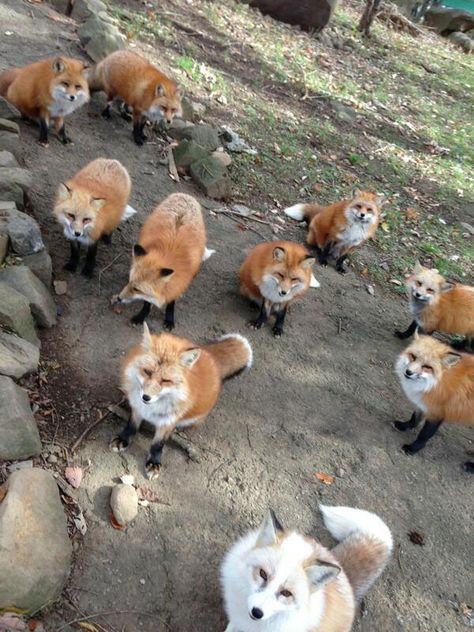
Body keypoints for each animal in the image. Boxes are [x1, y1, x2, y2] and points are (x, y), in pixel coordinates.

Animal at [112, 326, 252, 478]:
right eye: (147, 372)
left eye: (165, 380)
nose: (146, 397)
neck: (151, 409)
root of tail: (210, 356)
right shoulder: (137, 408)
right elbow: (131, 425)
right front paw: (123, 439)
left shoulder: (169, 420)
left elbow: (158, 444)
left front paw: (154, 462)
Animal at [114, 193, 212, 330]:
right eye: (130, 282)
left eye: (137, 289)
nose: (118, 298)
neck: (167, 254)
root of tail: (185, 195)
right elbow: (147, 303)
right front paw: (141, 316)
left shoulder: (178, 282)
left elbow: (171, 303)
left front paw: (169, 319)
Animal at [392, 334, 474, 472]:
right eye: (413, 356)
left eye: (427, 367)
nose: (408, 372)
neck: (436, 382)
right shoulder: (424, 404)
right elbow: (414, 418)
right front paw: (404, 426)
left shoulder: (437, 413)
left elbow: (424, 435)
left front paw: (413, 448)